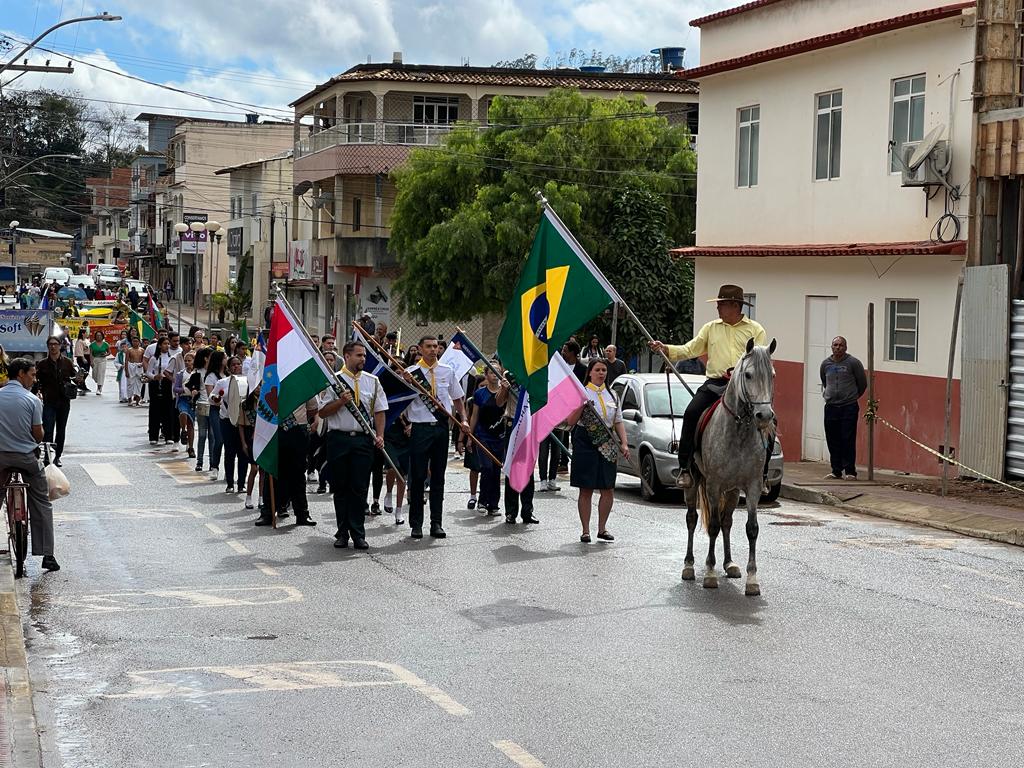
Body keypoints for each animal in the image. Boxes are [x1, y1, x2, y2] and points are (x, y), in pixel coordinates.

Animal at [679, 339, 774, 598]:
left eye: (772, 375)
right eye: (748, 375)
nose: (764, 415)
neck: (739, 431)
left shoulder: (752, 487)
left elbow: (751, 529)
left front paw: (752, 579)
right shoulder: (713, 485)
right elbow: (711, 525)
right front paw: (710, 574)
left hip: (732, 491)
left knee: (726, 521)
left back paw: (729, 563)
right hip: (695, 483)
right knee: (692, 519)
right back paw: (689, 566)